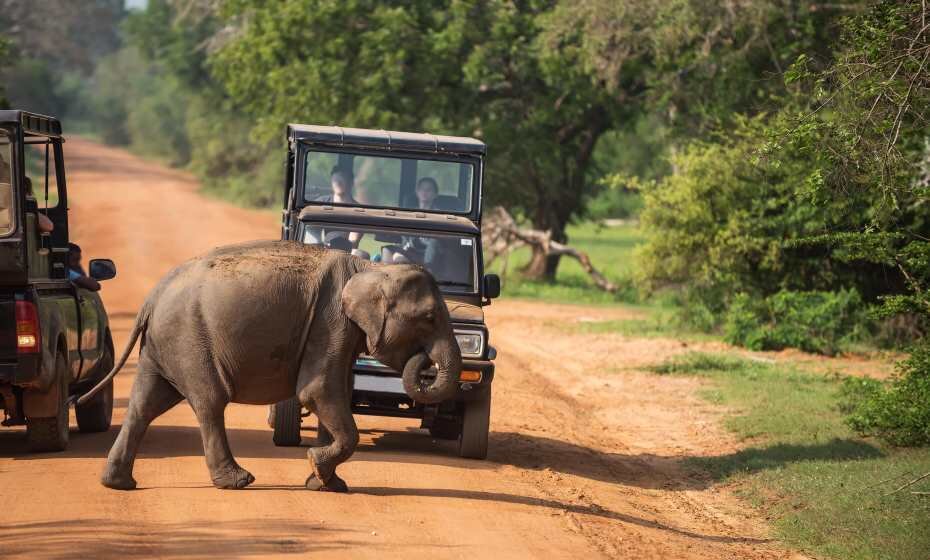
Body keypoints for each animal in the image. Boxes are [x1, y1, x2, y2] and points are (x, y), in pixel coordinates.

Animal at [78, 238, 462, 492]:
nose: (423, 360)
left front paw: (327, 483)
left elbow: (333, 393)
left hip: (162, 345)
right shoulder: (330, 322)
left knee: (145, 404)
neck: (371, 269)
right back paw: (238, 481)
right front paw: (318, 470)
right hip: (189, 339)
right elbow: (317, 391)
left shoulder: (339, 331)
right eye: (429, 318)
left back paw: (118, 483)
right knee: (209, 402)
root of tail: (153, 296)